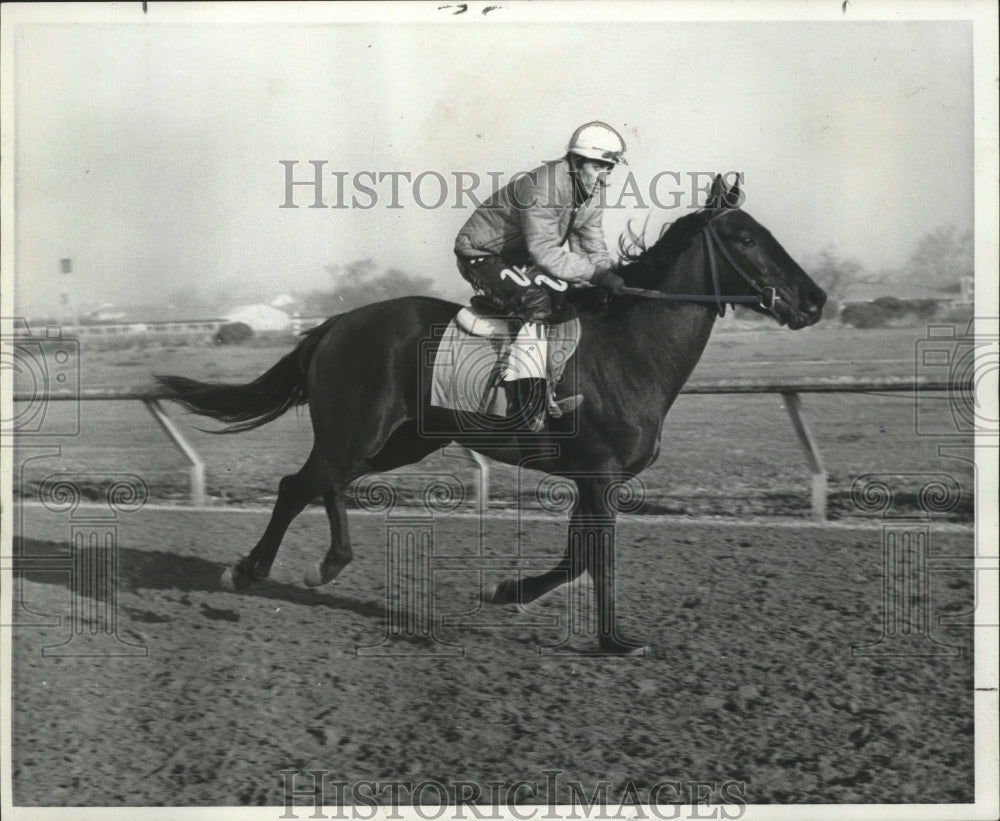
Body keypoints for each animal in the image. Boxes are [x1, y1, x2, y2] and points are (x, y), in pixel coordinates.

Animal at [158, 175, 828, 652]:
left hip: (398, 442)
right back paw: (246, 572)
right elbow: (596, 558)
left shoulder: (592, 479)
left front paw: (509, 590)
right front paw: (615, 640)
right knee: (297, 484)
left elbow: (578, 556)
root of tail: (334, 324)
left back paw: (330, 564)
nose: (815, 299)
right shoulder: (601, 475)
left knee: (328, 484)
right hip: (357, 431)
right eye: (745, 239)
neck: (627, 350)